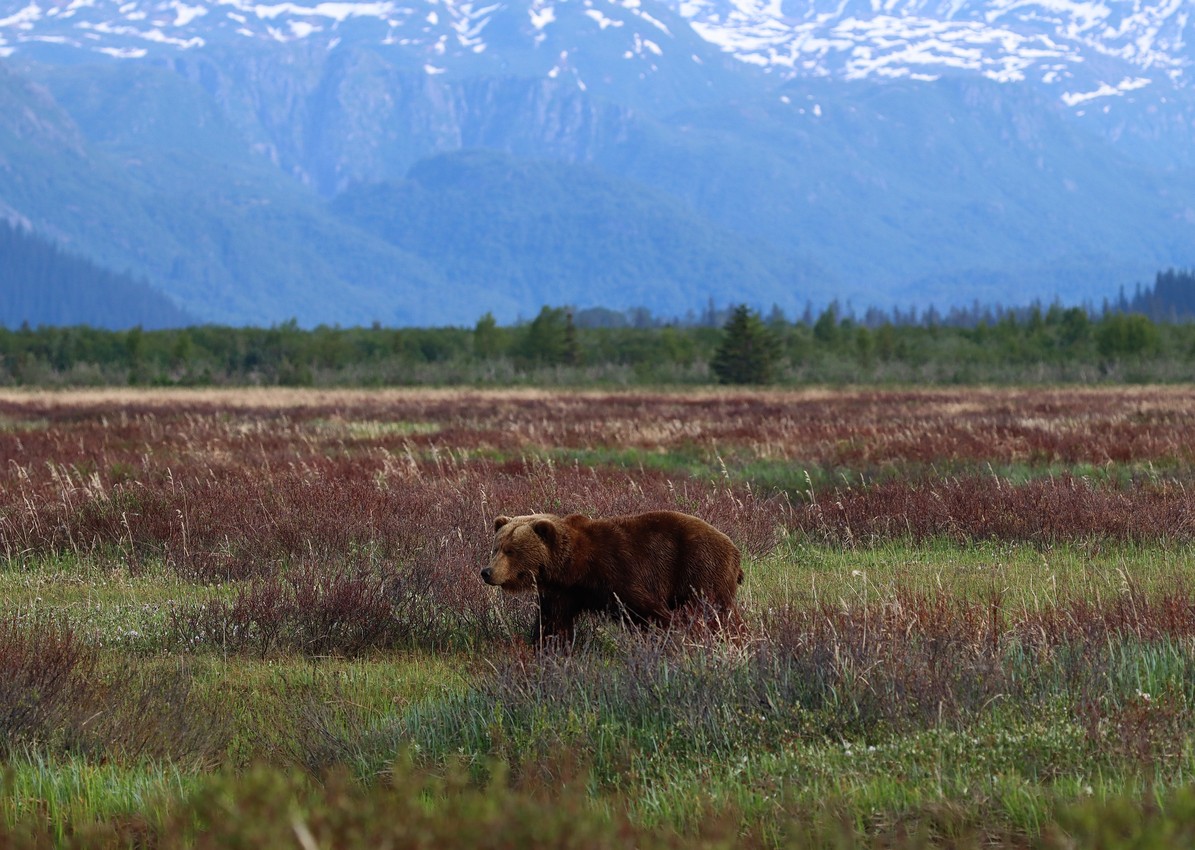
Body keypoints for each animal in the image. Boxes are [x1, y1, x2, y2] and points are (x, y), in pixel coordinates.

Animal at [482, 509, 740, 640]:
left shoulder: (618, 571)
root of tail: (733, 547)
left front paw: (669, 633)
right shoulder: (562, 591)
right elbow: (553, 623)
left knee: (712, 608)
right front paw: (547, 646)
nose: (487, 572)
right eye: (496, 548)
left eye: (511, 550)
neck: (576, 567)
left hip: (700, 567)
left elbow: (648, 609)